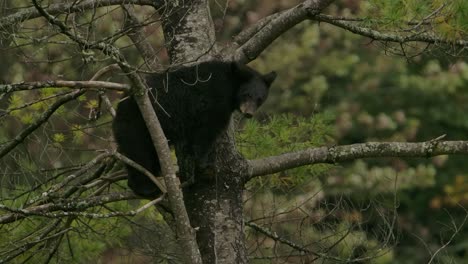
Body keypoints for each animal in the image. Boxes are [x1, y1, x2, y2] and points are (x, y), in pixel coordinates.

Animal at [112, 60, 276, 197]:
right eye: (247, 94)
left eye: (260, 99)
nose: (248, 113)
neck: (230, 86)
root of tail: (119, 107)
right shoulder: (215, 101)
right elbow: (206, 132)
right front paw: (206, 166)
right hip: (138, 124)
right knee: (139, 153)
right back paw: (146, 188)